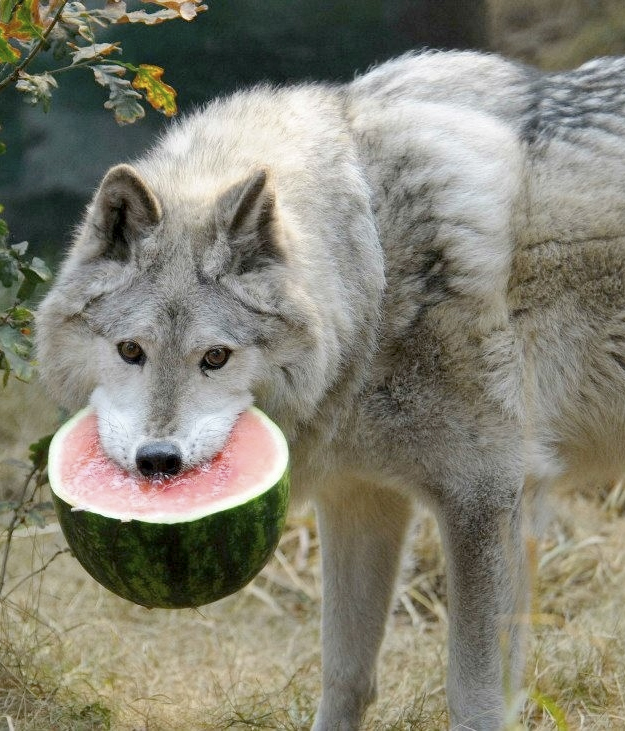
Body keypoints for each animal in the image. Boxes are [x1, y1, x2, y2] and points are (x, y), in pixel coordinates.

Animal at [35, 50, 625, 728]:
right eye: (131, 351)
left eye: (216, 357)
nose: (159, 462)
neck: (374, 266)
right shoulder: (360, 496)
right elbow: (346, 674)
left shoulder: (486, 499)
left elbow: (475, 698)